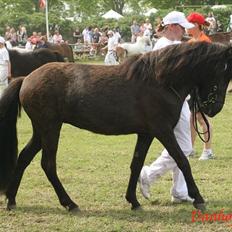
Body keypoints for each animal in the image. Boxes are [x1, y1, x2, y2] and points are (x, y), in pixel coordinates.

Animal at [0, 41, 231, 212]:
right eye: (223, 70)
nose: (214, 108)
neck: (159, 81)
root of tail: (26, 78)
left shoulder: (146, 134)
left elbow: (136, 164)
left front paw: (133, 201)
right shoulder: (163, 131)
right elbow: (182, 160)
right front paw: (198, 198)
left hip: (42, 131)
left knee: (24, 157)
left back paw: (11, 199)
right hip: (50, 129)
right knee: (48, 165)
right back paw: (70, 203)